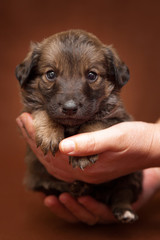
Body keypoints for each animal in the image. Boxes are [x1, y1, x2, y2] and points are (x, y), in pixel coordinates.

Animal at [15, 30, 142, 223]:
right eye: (50, 74)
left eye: (92, 75)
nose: (69, 108)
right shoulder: (31, 107)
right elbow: (43, 110)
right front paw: (49, 134)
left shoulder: (116, 116)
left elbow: (94, 122)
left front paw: (83, 153)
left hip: (133, 174)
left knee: (124, 191)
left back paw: (123, 210)